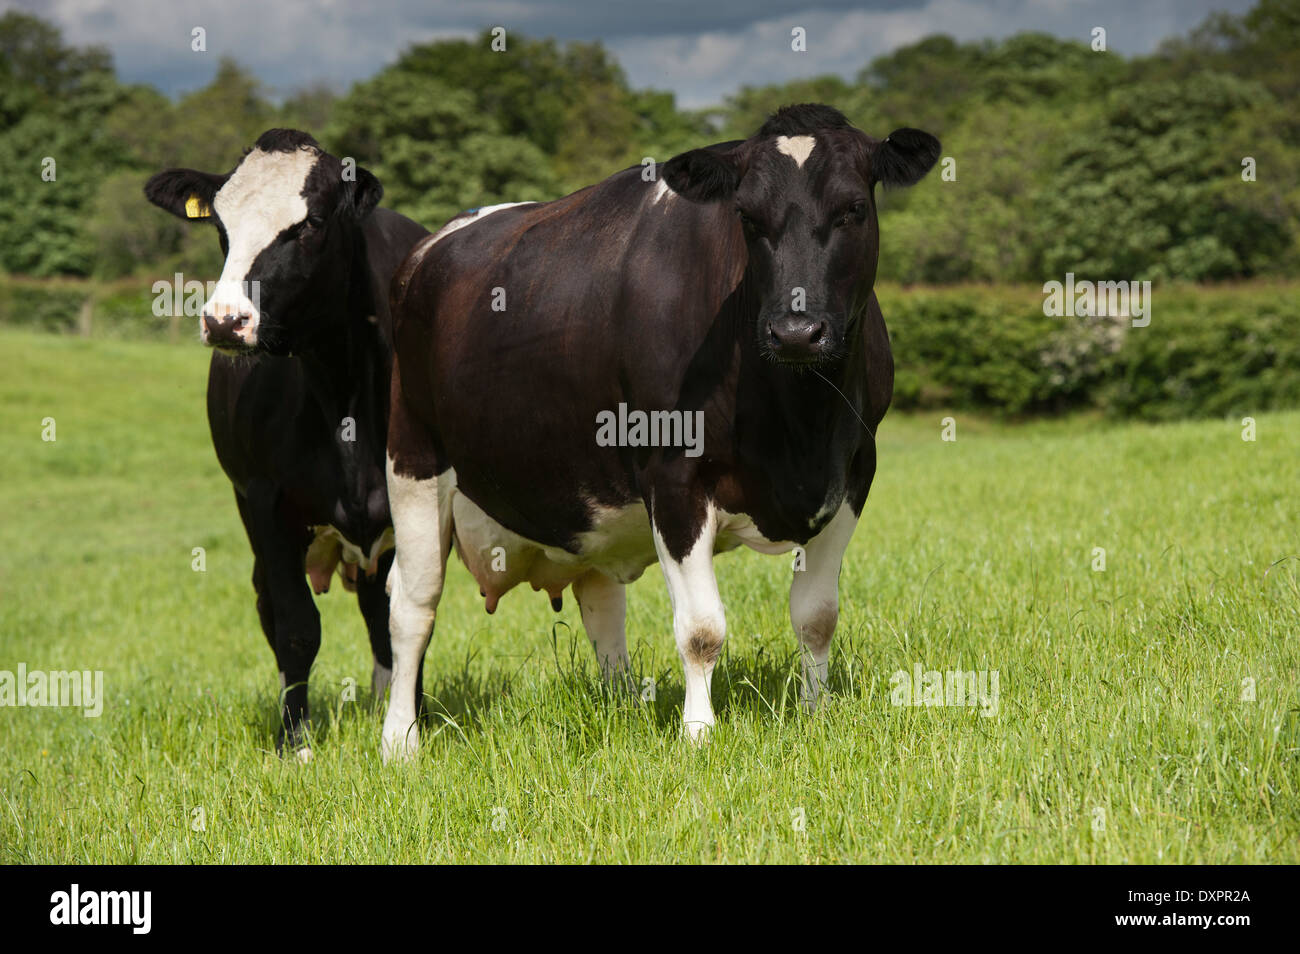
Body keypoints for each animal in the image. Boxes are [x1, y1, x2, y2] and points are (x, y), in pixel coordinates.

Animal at [143, 130, 426, 764]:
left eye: (310, 223)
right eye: (220, 226)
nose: (226, 321)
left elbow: (408, 611)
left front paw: (411, 721)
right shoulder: (265, 501)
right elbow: (296, 625)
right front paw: (294, 741)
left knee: (376, 609)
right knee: (273, 607)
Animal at [377, 106, 935, 764]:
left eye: (853, 209)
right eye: (747, 217)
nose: (796, 331)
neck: (798, 422)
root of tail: (429, 246)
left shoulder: (852, 473)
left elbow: (817, 615)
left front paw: (815, 713)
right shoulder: (673, 478)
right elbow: (701, 629)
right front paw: (698, 732)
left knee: (600, 604)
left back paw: (619, 704)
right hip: (412, 455)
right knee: (411, 604)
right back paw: (400, 740)